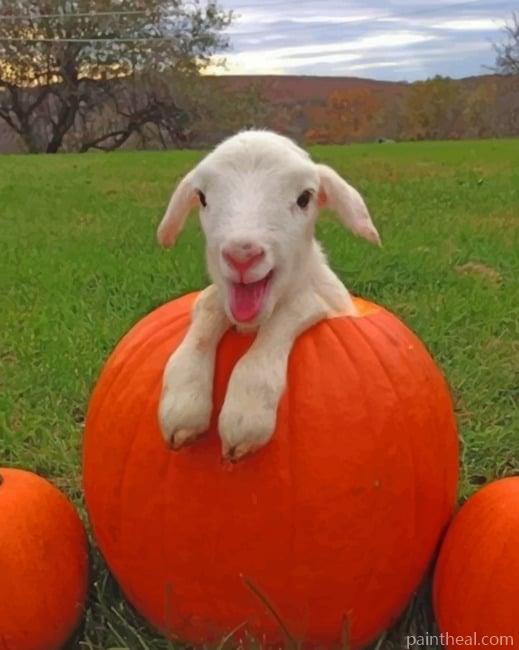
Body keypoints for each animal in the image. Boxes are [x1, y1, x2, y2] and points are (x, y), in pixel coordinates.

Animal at [156, 130, 380, 461]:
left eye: (304, 198)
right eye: (202, 197)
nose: (242, 255)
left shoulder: (319, 303)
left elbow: (292, 311)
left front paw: (246, 414)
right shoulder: (216, 302)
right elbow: (207, 309)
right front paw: (183, 406)